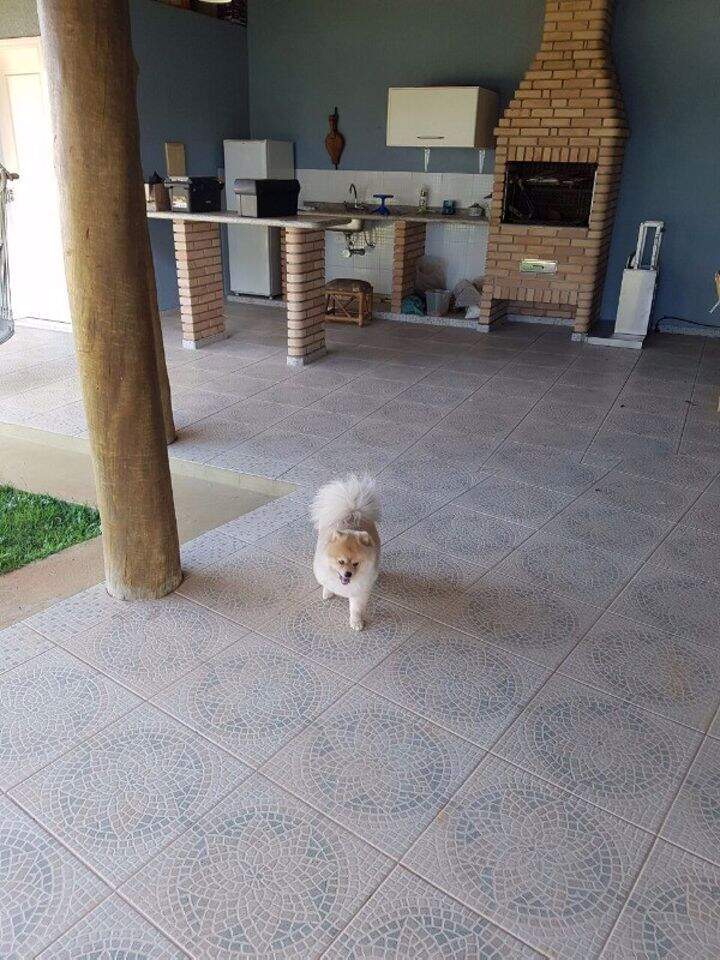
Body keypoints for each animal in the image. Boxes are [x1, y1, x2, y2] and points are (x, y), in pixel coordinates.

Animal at [311, 475, 380, 631]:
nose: (348, 574)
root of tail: (352, 511)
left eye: (356, 564)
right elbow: (327, 583)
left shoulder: (359, 591)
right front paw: (327, 593)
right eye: (341, 562)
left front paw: (356, 622)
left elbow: (356, 609)